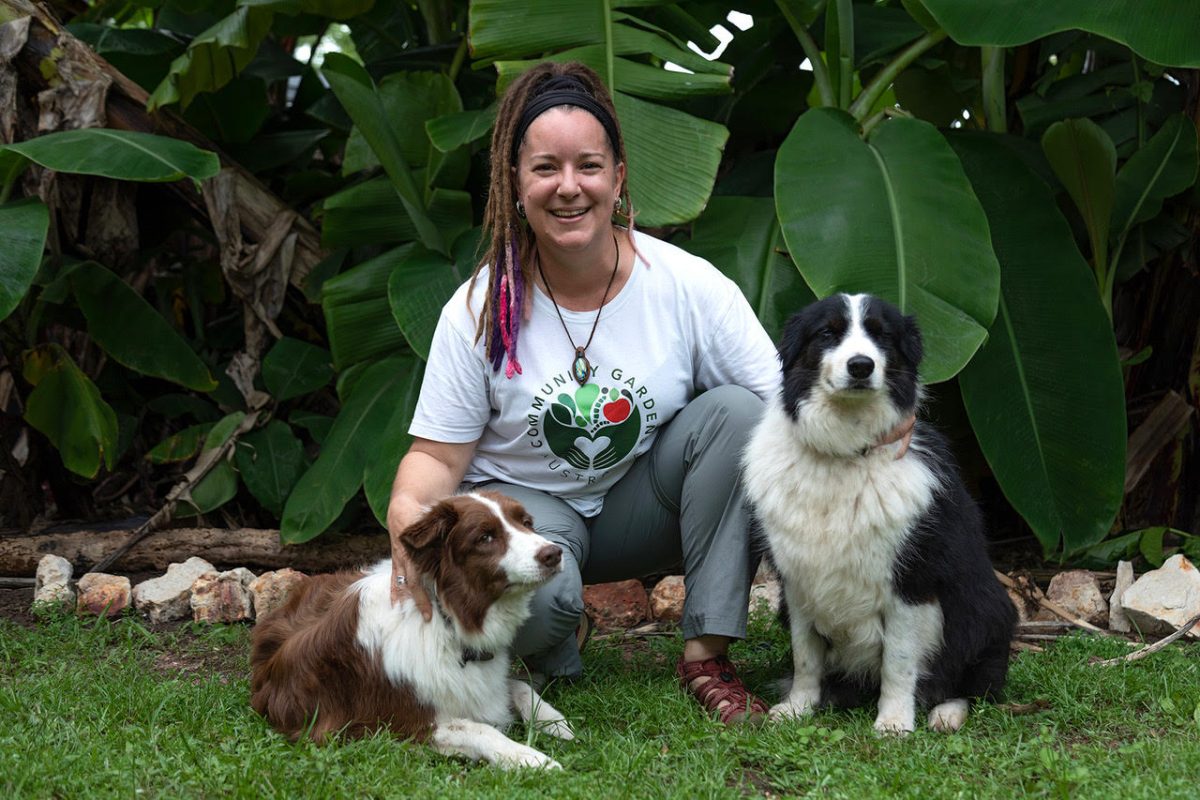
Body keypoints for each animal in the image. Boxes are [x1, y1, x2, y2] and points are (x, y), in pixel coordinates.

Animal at [249, 491, 576, 767]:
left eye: (526, 523)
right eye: (485, 537)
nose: (554, 553)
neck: (450, 623)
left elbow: (516, 685)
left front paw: (555, 722)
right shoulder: (396, 725)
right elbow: (481, 729)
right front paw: (532, 759)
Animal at [744, 292, 1017, 734]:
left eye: (882, 335)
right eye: (828, 333)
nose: (861, 365)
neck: (844, 452)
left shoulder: (911, 584)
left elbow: (899, 662)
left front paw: (893, 722)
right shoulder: (797, 582)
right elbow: (805, 657)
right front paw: (798, 707)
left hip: (987, 608)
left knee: (975, 683)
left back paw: (947, 713)